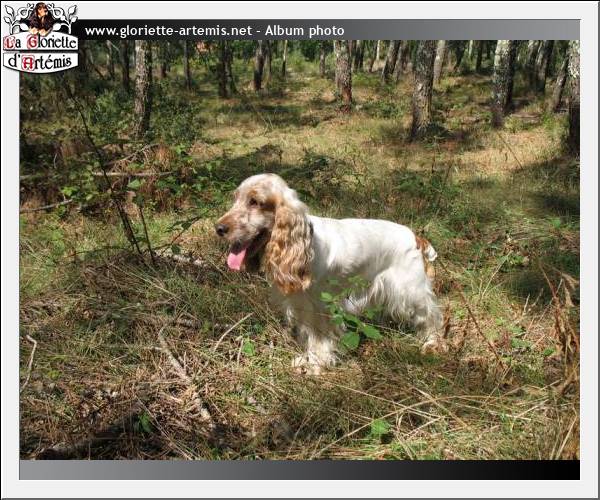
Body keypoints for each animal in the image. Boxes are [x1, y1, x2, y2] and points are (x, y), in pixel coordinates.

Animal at [216, 173, 445, 374]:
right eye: (235, 199)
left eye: (255, 202)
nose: (218, 228)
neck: (305, 243)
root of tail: (415, 237)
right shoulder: (303, 306)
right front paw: (306, 360)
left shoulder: (321, 308)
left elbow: (320, 340)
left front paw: (315, 365)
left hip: (411, 290)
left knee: (432, 316)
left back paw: (432, 344)